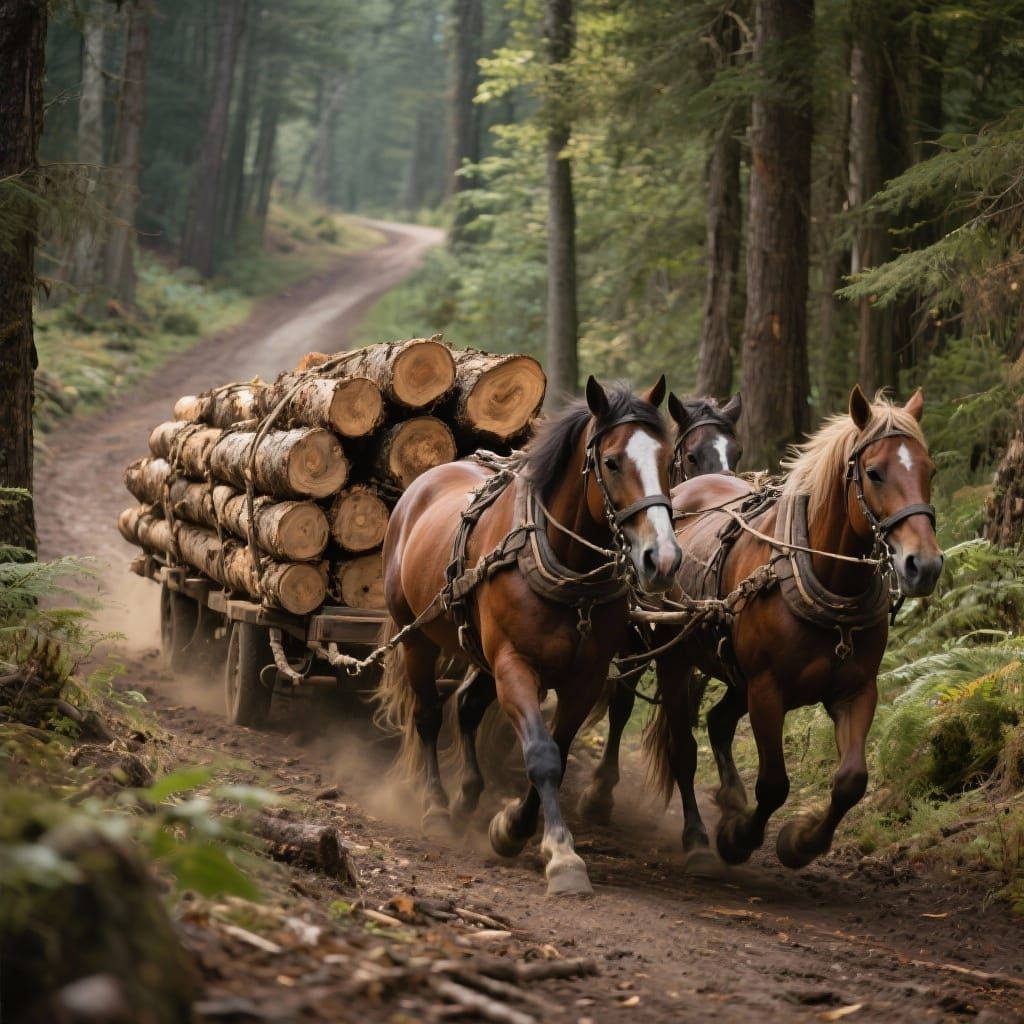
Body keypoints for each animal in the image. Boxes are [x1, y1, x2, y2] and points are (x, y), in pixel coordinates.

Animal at [374, 377, 682, 895]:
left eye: (667, 459)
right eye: (612, 462)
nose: (662, 559)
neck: (566, 569)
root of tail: (419, 486)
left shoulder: (585, 678)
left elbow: (558, 750)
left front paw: (513, 826)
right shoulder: (514, 663)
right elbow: (541, 755)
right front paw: (559, 854)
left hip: (477, 650)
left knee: (466, 705)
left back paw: (468, 796)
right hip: (417, 637)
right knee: (428, 715)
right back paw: (436, 805)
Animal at [639, 385, 943, 870]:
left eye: (929, 469)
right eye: (874, 473)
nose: (925, 565)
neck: (825, 577)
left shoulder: (856, 691)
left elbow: (852, 780)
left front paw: (802, 842)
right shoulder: (767, 691)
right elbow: (774, 784)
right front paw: (739, 837)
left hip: (733, 672)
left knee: (718, 722)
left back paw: (730, 797)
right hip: (674, 657)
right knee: (682, 748)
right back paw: (697, 835)